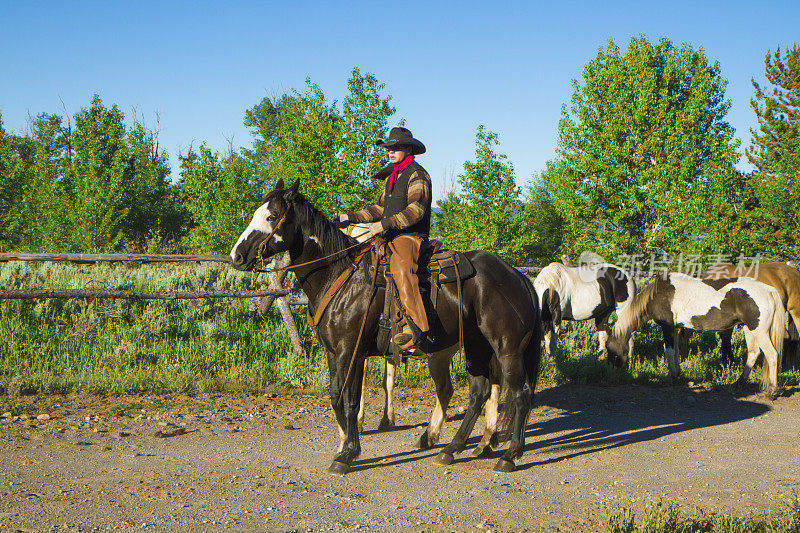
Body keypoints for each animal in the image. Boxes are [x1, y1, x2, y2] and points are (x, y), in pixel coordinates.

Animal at [231, 180, 544, 474]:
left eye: (271, 216)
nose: (237, 255)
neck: (340, 275)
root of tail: (516, 275)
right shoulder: (335, 353)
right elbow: (336, 396)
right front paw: (344, 445)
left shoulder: (350, 351)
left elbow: (351, 400)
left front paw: (348, 454)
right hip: (475, 346)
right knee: (478, 391)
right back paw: (452, 449)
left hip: (506, 348)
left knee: (520, 394)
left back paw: (509, 455)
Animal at [608, 272, 788, 396]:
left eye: (609, 347)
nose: (613, 369)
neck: (659, 294)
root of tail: (769, 290)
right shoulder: (676, 328)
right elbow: (676, 352)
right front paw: (677, 373)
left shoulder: (667, 327)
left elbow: (669, 351)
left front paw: (670, 377)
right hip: (749, 329)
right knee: (753, 353)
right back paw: (739, 381)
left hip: (759, 331)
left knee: (772, 355)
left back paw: (772, 390)